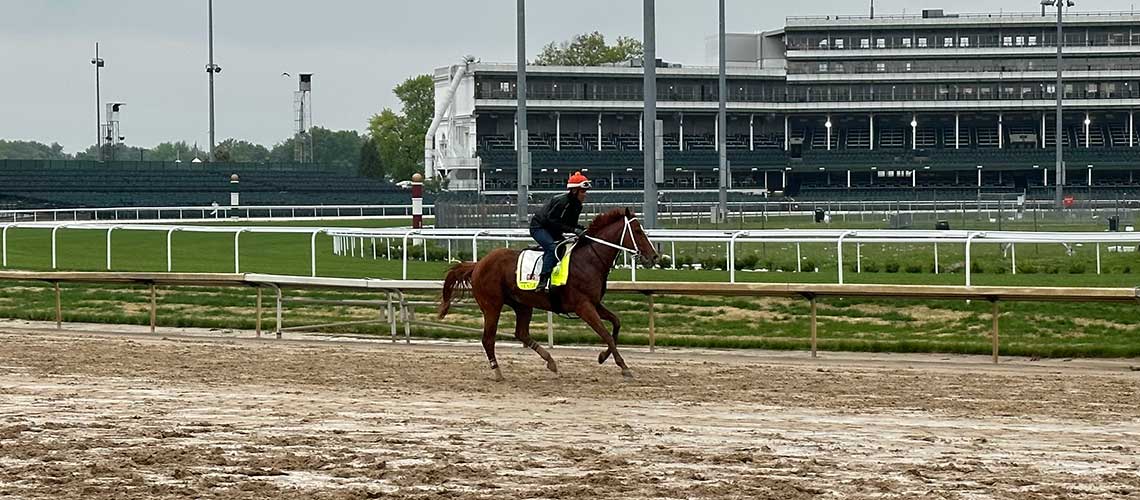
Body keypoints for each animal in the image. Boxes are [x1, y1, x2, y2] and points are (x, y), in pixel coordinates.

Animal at [440, 207, 665, 380]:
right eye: (637, 230)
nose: (654, 256)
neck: (589, 260)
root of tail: (478, 264)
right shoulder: (583, 307)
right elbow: (606, 334)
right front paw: (624, 366)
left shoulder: (594, 303)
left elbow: (616, 324)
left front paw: (603, 357)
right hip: (492, 305)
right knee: (488, 339)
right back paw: (498, 372)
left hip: (522, 304)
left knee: (521, 333)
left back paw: (551, 362)